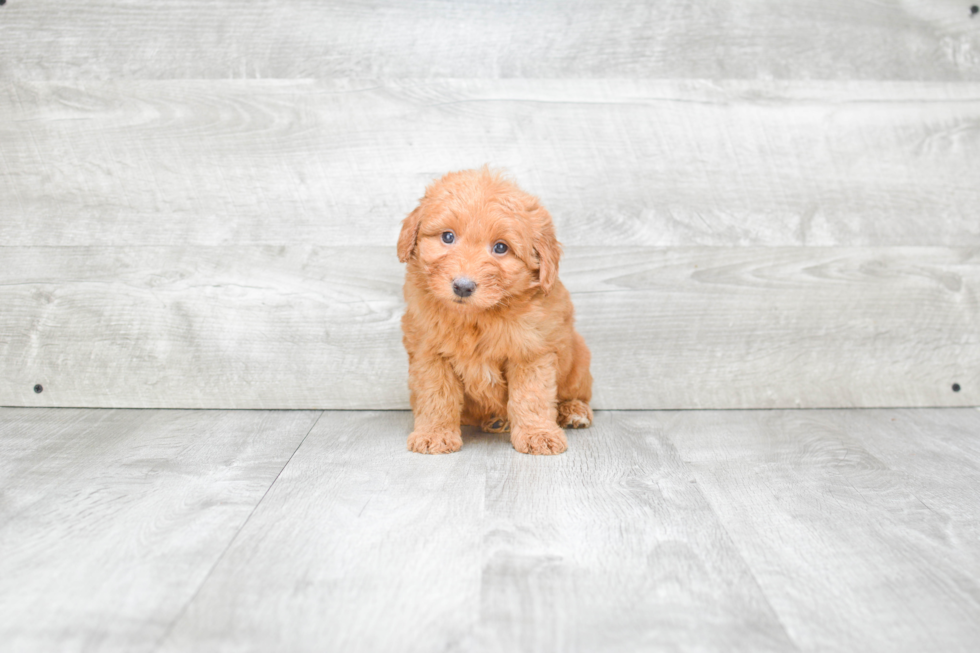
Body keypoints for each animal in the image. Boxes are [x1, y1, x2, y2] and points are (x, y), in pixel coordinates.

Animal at [396, 168, 592, 454]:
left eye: (501, 247)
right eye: (447, 237)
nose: (463, 286)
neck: (477, 317)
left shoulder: (531, 350)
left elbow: (531, 396)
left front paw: (538, 434)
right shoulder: (428, 352)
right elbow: (436, 395)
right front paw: (434, 434)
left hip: (578, 360)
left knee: (576, 392)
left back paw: (574, 410)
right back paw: (495, 420)